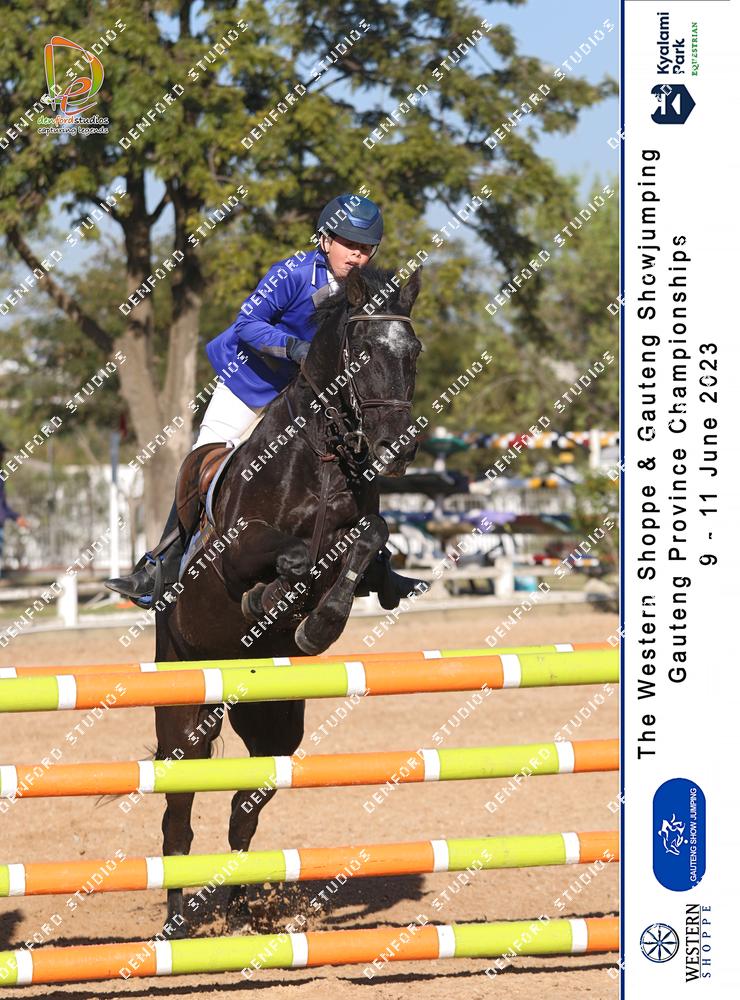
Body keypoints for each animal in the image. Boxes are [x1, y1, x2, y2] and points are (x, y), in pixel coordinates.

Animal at [153, 264, 423, 932]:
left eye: (414, 353)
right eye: (364, 352)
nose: (398, 450)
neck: (323, 453)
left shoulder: (362, 529)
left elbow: (370, 538)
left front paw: (316, 625)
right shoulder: (234, 551)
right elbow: (291, 556)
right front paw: (269, 603)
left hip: (274, 722)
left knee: (245, 809)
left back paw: (243, 915)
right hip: (181, 705)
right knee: (177, 817)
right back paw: (176, 926)